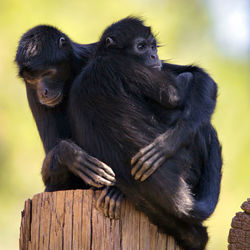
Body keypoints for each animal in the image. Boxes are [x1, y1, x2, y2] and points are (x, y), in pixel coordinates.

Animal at [68, 16, 221, 249]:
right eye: (141, 47)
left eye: (153, 47)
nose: (154, 56)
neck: (102, 58)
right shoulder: (123, 65)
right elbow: (177, 93)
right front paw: (167, 144)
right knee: (199, 120)